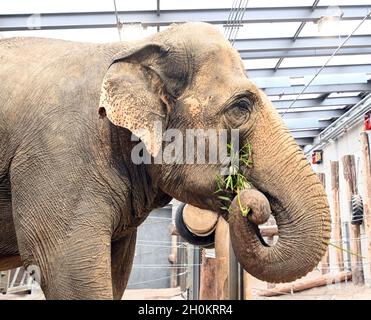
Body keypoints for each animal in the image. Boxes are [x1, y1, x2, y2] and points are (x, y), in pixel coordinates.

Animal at [0, 23, 332, 300]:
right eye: (241, 106)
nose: (251, 203)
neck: (135, 45)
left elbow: (117, 268)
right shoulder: (59, 153)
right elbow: (65, 266)